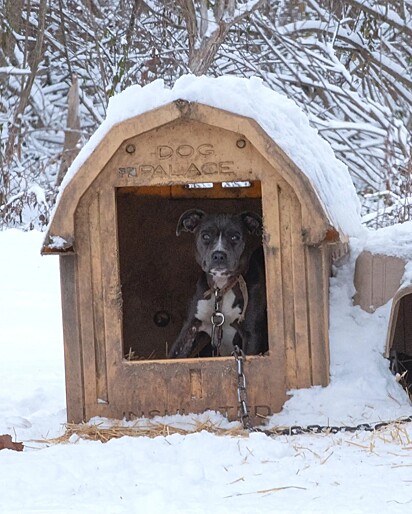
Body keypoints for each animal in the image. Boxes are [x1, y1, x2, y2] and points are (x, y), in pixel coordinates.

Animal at [167, 208, 268, 356]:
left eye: (235, 237)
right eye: (205, 236)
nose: (219, 255)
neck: (221, 288)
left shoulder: (252, 335)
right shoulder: (190, 328)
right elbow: (173, 356)